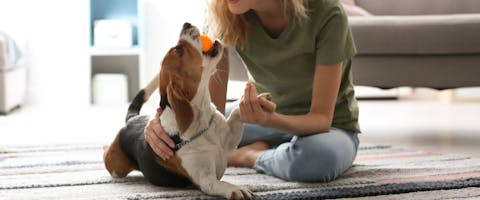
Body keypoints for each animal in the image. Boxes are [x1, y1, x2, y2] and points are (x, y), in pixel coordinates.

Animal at [102, 22, 258, 199]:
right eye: (179, 50)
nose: (186, 24)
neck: (201, 122)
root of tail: (132, 119)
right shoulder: (205, 180)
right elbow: (220, 184)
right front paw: (235, 189)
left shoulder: (231, 138)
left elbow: (236, 113)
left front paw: (255, 100)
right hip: (116, 167)